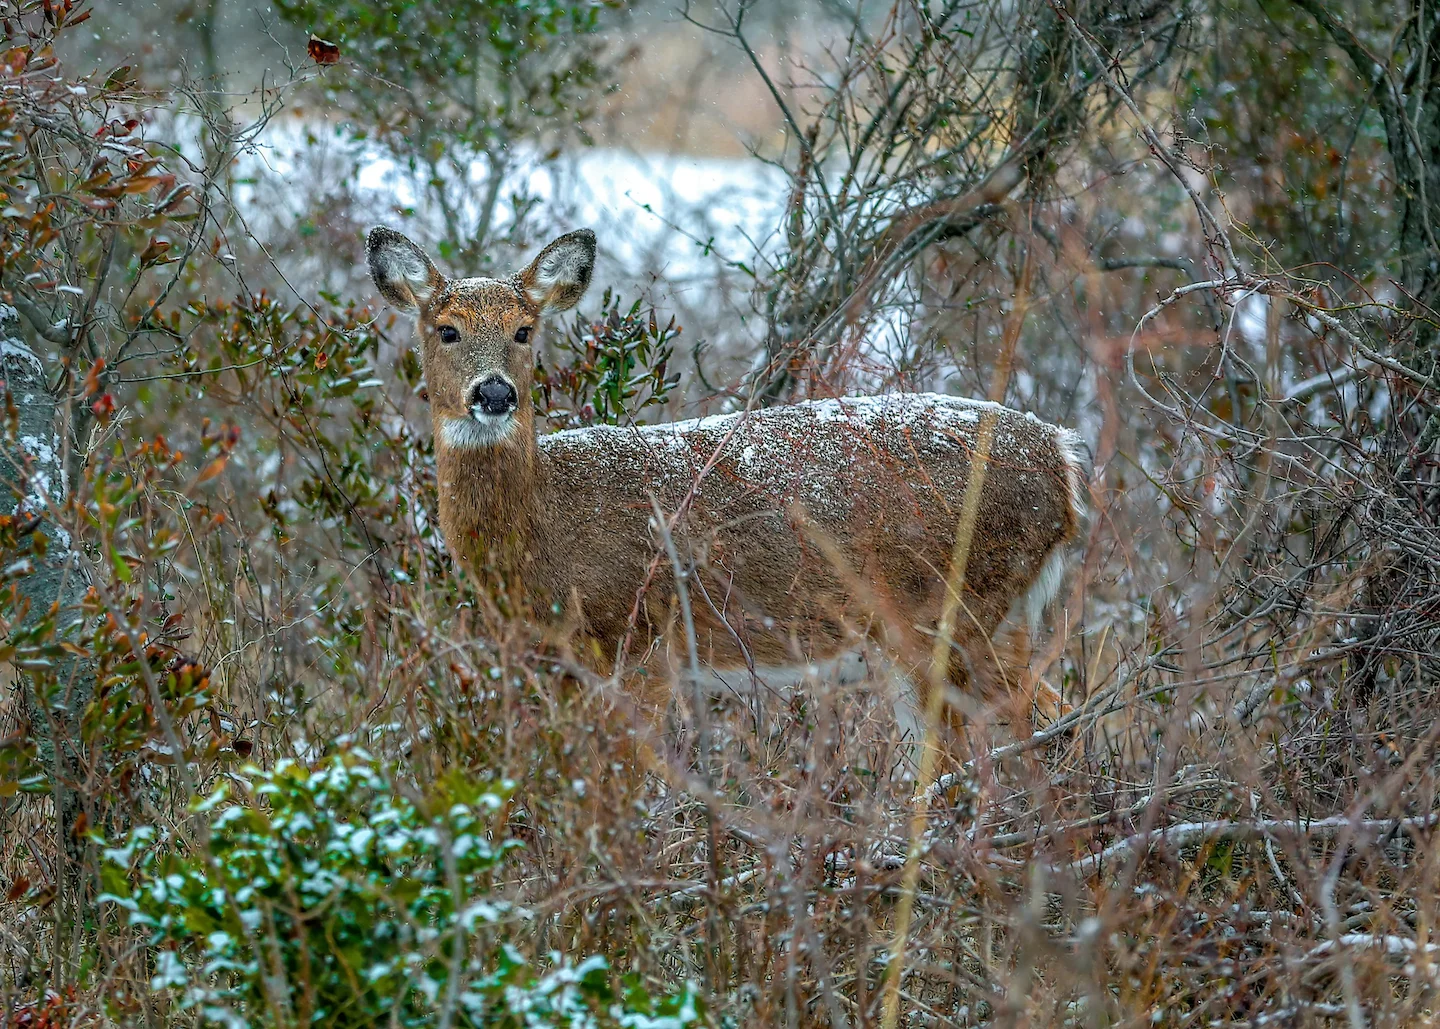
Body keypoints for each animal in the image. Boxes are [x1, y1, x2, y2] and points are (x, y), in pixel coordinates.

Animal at [365, 225, 1089, 750]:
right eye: (446, 328)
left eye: (523, 330)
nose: (493, 393)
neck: (542, 531)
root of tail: (1062, 457)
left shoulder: (641, 643)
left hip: (955, 607)